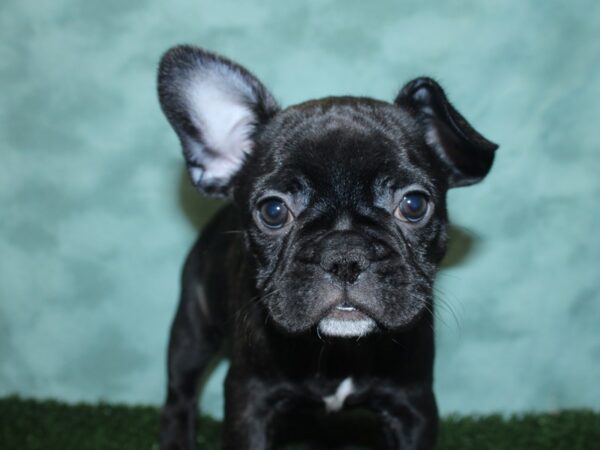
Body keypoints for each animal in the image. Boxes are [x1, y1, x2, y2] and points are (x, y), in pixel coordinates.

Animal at [155, 46, 496, 450]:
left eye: (414, 205)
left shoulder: (413, 405)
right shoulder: (249, 400)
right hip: (192, 330)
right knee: (180, 394)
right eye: (273, 211)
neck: (340, 351)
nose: (345, 255)